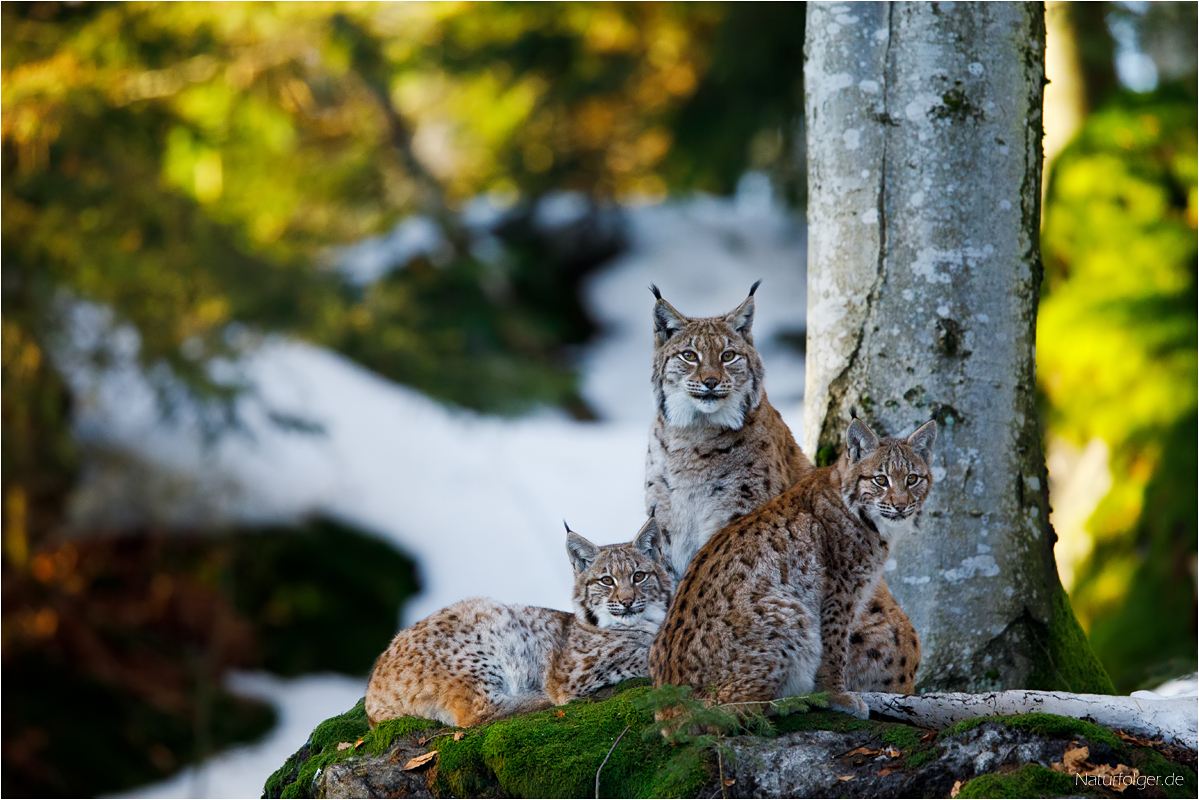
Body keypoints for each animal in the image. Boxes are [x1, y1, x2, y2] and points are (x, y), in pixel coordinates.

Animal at [364, 515, 671, 729]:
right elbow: (643, 655)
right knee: (476, 714)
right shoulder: (573, 673)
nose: (627, 601)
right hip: (486, 615)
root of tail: (372, 687)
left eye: (639, 576)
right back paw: (542, 698)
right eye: (607, 581)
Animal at [647, 287, 916, 695]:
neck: (691, 437)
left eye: (728, 356)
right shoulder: (664, 529)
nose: (710, 382)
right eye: (689, 356)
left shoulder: (737, 518)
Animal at [647, 419, 935, 719]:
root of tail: (669, 700)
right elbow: (834, 648)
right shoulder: (839, 591)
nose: (901, 506)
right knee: (724, 714)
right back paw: (792, 701)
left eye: (912, 479)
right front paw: (836, 696)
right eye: (881, 480)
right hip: (791, 610)